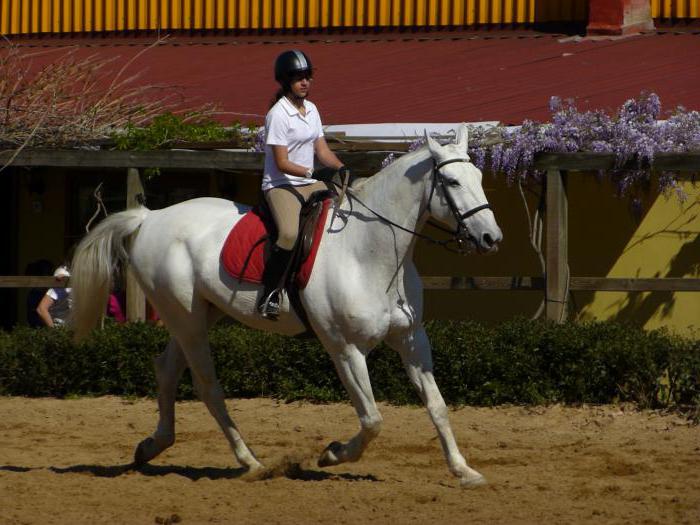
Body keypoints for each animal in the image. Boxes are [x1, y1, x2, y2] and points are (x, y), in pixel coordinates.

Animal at [71, 125, 500, 486]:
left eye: (479, 179)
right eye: (451, 181)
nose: (491, 238)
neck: (370, 253)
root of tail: (150, 217)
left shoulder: (411, 339)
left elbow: (437, 406)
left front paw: (463, 471)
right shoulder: (344, 348)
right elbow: (373, 419)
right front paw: (332, 454)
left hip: (197, 315)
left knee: (166, 370)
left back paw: (152, 447)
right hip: (186, 318)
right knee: (208, 386)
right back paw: (250, 462)